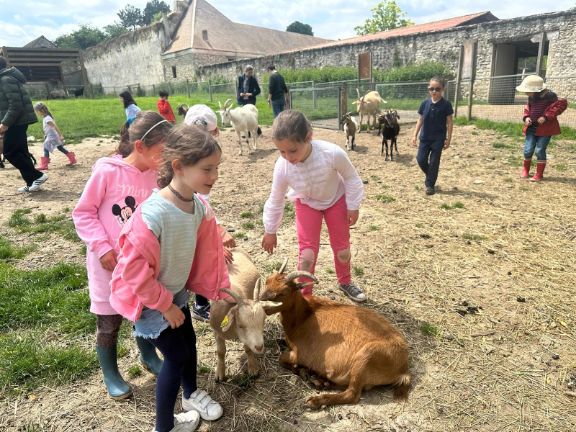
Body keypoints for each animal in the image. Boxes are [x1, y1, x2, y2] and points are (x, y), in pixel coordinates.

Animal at [209, 248, 282, 380]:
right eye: (241, 325)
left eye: (263, 321)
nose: (259, 347)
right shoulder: (216, 331)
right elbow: (221, 351)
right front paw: (220, 373)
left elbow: (247, 348)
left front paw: (253, 368)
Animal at [260, 264, 410, 410]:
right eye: (267, 281)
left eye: (283, 293)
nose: (260, 305)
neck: (304, 316)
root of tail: (403, 368)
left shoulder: (300, 354)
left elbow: (281, 359)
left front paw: (303, 372)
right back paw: (321, 382)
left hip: (365, 358)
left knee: (352, 394)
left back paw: (316, 400)